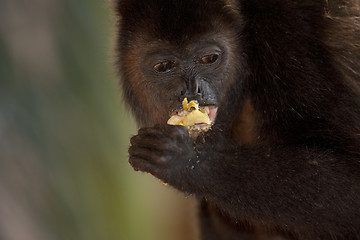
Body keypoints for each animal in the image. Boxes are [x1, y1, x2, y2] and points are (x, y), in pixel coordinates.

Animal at [114, 0, 360, 239]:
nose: (192, 90)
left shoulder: (291, 40)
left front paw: (183, 159)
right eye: (164, 66)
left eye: (209, 58)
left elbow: (351, 181)